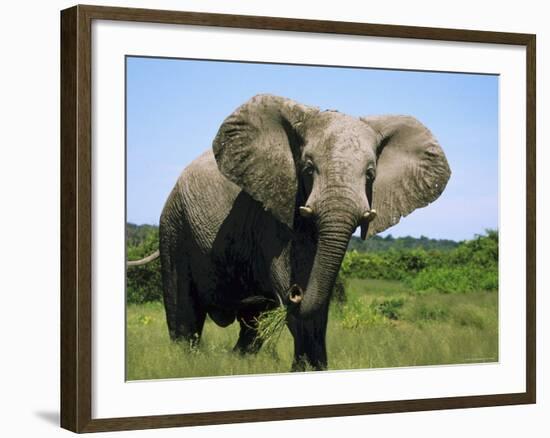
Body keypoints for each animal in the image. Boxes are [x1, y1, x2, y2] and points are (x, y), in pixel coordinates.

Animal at [134, 94, 452, 372]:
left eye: (371, 174)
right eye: (308, 168)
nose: (296, 291)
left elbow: (319, 301)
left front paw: (317, 370)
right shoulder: (270, 212)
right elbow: (286, 280)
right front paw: (303, 369)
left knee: (251, 323)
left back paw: (239, 360)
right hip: (174, 225)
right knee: (184, 311)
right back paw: (186, 363)